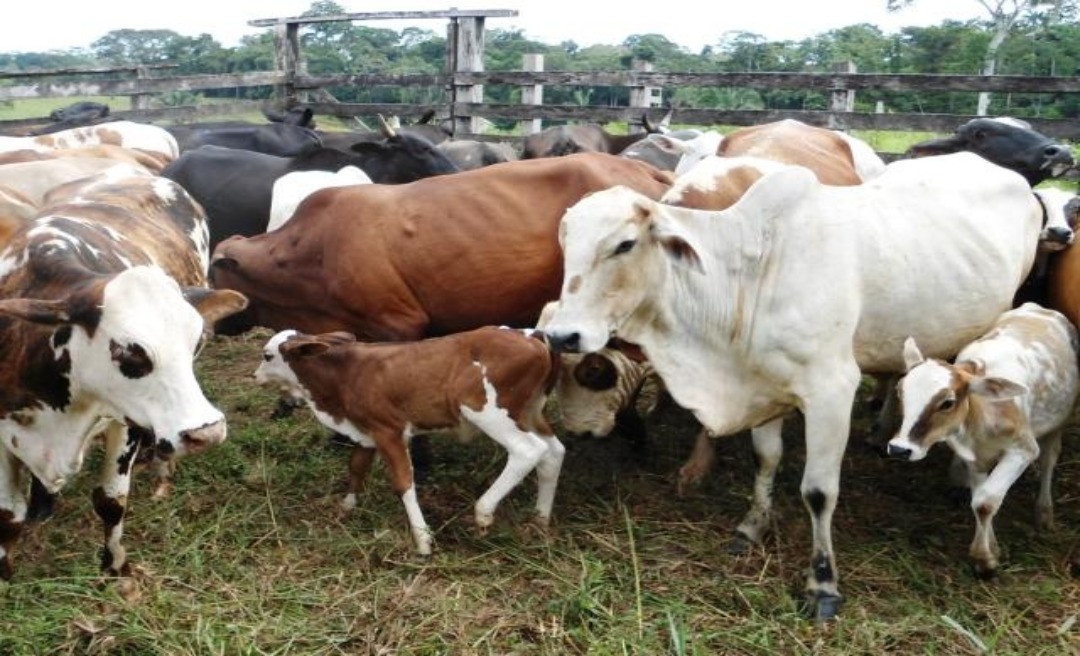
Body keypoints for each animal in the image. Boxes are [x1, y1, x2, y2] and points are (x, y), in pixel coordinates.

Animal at [252, 326, 565, 557]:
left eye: (267, 356)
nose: (254, 376)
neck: (344, 374)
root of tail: (531, 334)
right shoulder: (367, 431)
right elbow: (356, 466)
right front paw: (346, 507)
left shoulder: (389, 430)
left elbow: (403, 483)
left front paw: (423, 540)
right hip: (530, 411)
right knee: (553, 452)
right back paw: (540, 520)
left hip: (488, 411)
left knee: (528, 450)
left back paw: (484, 513)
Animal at [544, 151, 1041, 618]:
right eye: (565, 240)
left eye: (624, 244)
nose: (562, 335)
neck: (751, 274)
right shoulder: (764, 386)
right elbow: (766, 459)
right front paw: (752, 526)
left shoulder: (831, 391)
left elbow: (818, 491)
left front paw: (822, 585)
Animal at [885, 304, 1080, 579]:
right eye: (900, 391)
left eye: (947, 402)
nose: (900, 449)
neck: (980, 419)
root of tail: (1039, 308)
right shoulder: (974, 457)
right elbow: (979, 499)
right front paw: (991, 550)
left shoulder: (1023, 449)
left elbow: (986, 500)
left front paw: (984, 558)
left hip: (1059, 421)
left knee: (1048, 462)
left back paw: (1044, 513)